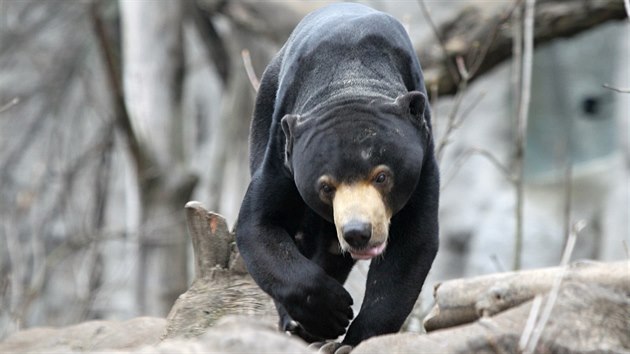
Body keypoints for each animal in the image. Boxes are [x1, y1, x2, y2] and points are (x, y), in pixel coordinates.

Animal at [236, 1, 440, 348]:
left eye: (382, 176)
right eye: (326, 187)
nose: (358, 232)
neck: (349, 81)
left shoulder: (423, 156)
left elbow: (412, 242)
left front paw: (353, 340)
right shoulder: (282, 154)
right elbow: (259, 225)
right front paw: (332, 311)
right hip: (263, 116)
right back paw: (295, 324)